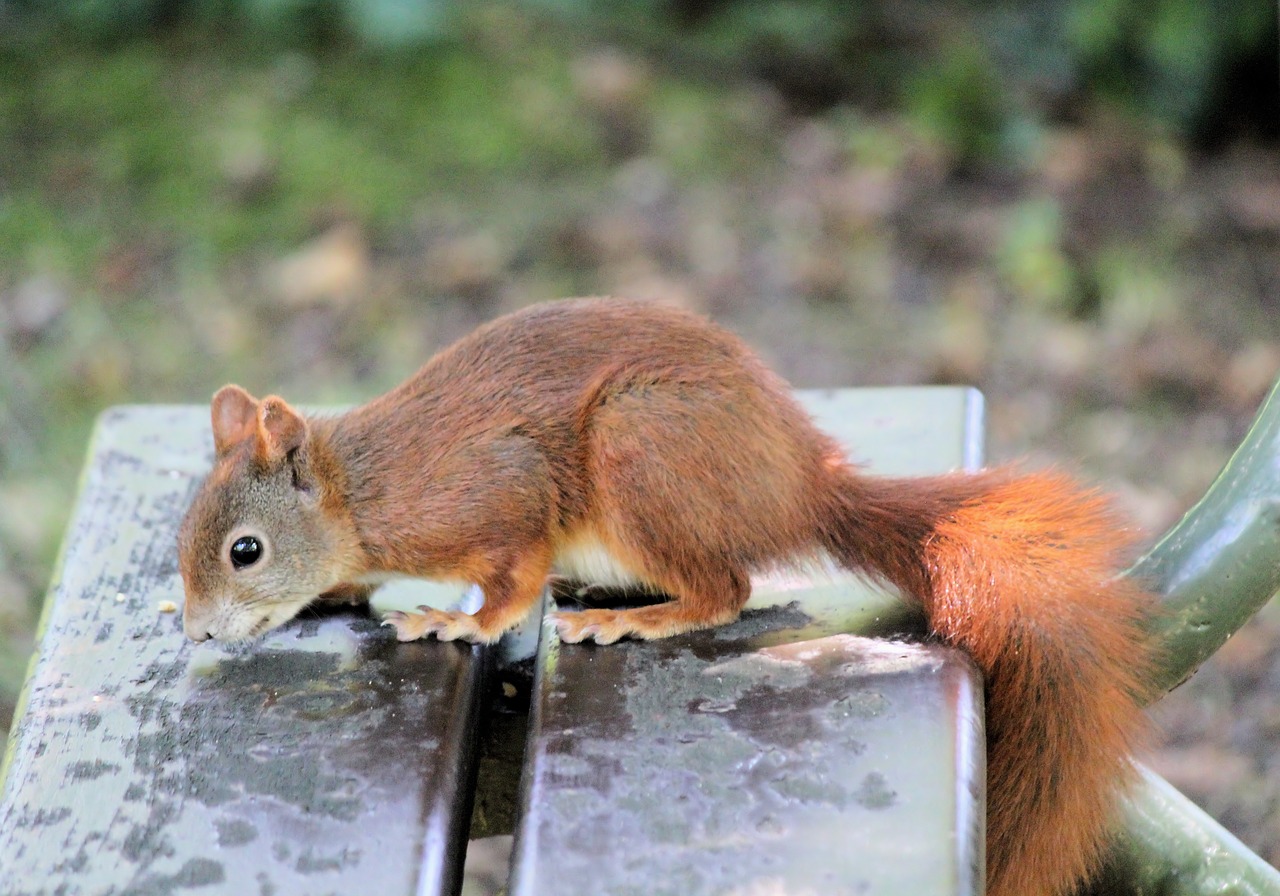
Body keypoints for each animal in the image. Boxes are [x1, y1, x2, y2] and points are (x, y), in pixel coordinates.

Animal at [177, 299, 1152, 896]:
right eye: (182, 534)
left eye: (245, 551)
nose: (194, 632)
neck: (361, 490)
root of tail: (796, 487)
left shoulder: (501, 497)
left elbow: (511, 581)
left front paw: (455, 617)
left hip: (640, 449)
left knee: (726, 588)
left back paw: (628, 619)